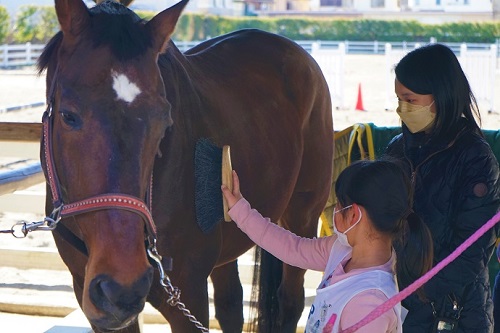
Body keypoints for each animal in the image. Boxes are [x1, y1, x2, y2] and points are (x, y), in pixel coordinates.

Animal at [38, 0, 332, 332]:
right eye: (68, 116)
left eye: (164, 122)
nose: (122, 285)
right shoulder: (89, 294)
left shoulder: (187, 295)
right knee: (231, 303)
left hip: (301, 219)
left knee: (289, 301)